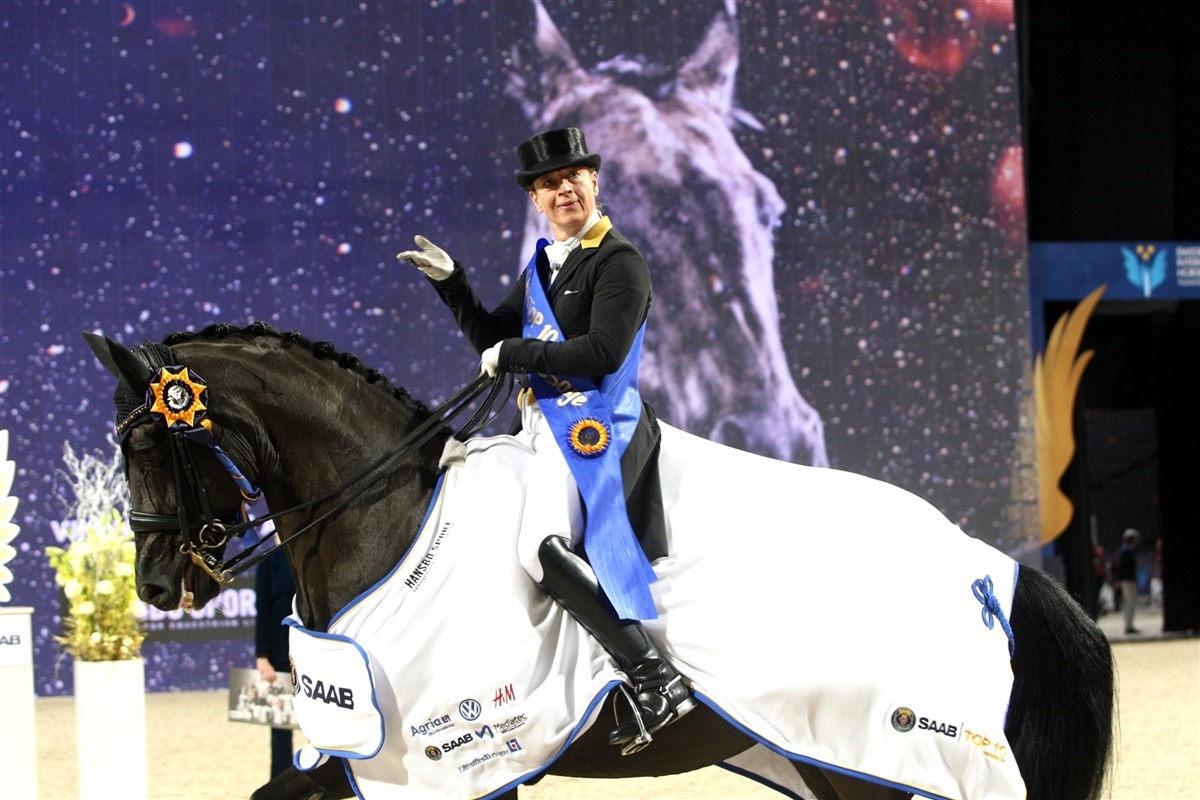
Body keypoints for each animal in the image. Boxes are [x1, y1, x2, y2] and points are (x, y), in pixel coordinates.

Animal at [84, 323, 1113, 800]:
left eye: (150, 444)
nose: (157, 582)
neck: (391, 518)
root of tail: (989, 571)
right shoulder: (373, 757)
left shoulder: (434, 760)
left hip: (899, 753)